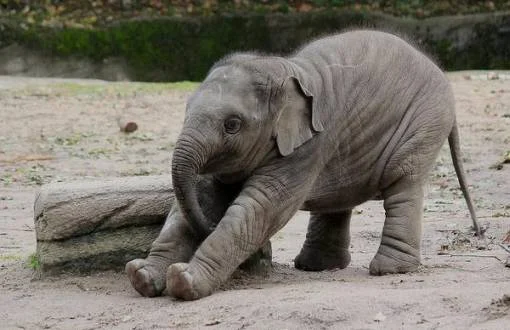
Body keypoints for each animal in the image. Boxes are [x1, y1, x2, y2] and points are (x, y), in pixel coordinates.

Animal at [129, 29, 480, 300]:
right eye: (186, 110)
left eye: (232, 125)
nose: (209, 226)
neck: (284, 69)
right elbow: (203, 197)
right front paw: (141, 277)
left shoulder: (308, 147)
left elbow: (262, 207)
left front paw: (184, 281)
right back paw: (316, 266)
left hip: (424, 122)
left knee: (403, 184)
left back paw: (388, 270)